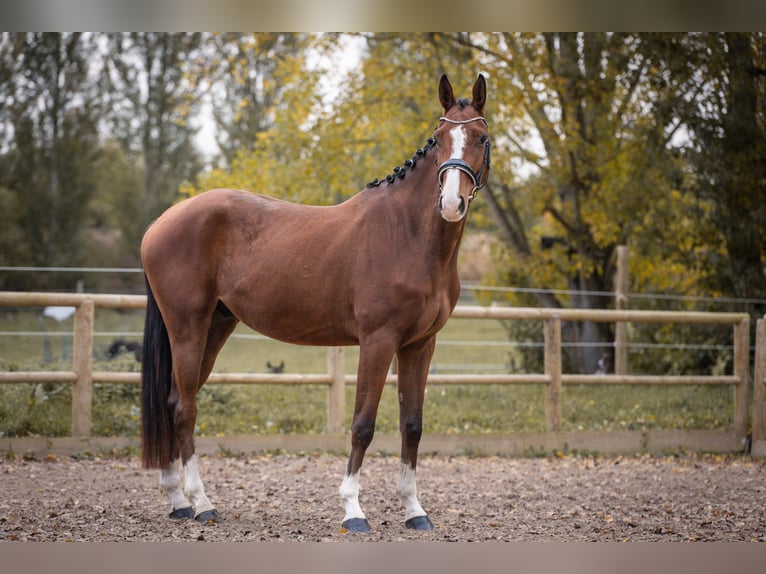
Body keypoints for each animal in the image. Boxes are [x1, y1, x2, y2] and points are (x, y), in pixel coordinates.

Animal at [140, 74, 492, 532]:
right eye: (439, 137)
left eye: (481, 138)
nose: (451, 203)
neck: (408, 234)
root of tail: (161, 222)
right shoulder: (378, 341)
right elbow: (363, 425)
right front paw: (353, 510)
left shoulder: (420, 345)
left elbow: (412, 425)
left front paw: (415, 510)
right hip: (188, 328)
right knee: (184, 409)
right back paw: (201, 504)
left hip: (214, 328)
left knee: (170, 402)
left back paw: (177, 500)